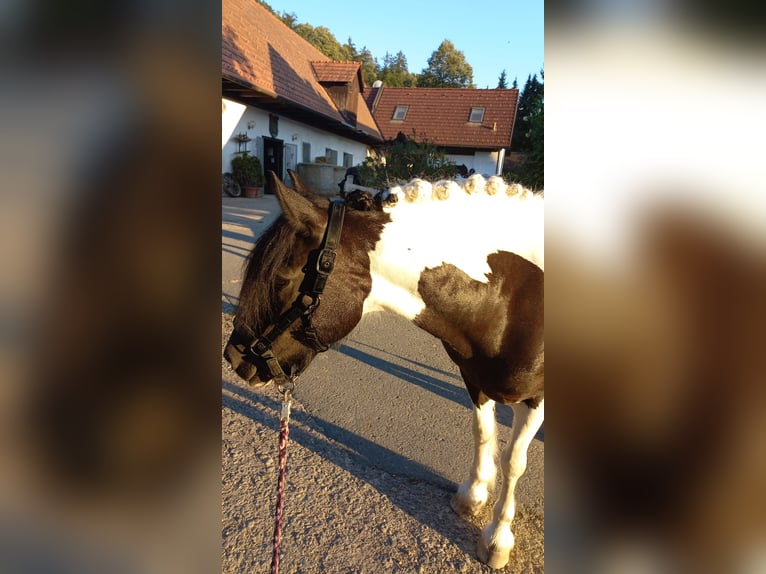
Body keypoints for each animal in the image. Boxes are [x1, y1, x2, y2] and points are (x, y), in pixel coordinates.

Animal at [224, 171, 544, 572]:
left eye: (281, 279)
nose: (234, 358)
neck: (511, 299)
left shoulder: (535, 399)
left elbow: (514, 461)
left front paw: (498, 537)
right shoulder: (474, 379)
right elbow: (483, 433)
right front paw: (472, 496)